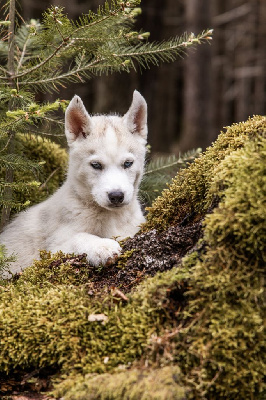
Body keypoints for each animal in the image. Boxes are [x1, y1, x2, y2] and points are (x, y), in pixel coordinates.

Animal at [0, 91, 148, 278]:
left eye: (128, 163)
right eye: (96, 165)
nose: (116, 196)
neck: (112, 217)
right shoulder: (53, 249)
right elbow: (79, 237)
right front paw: (102, 246)